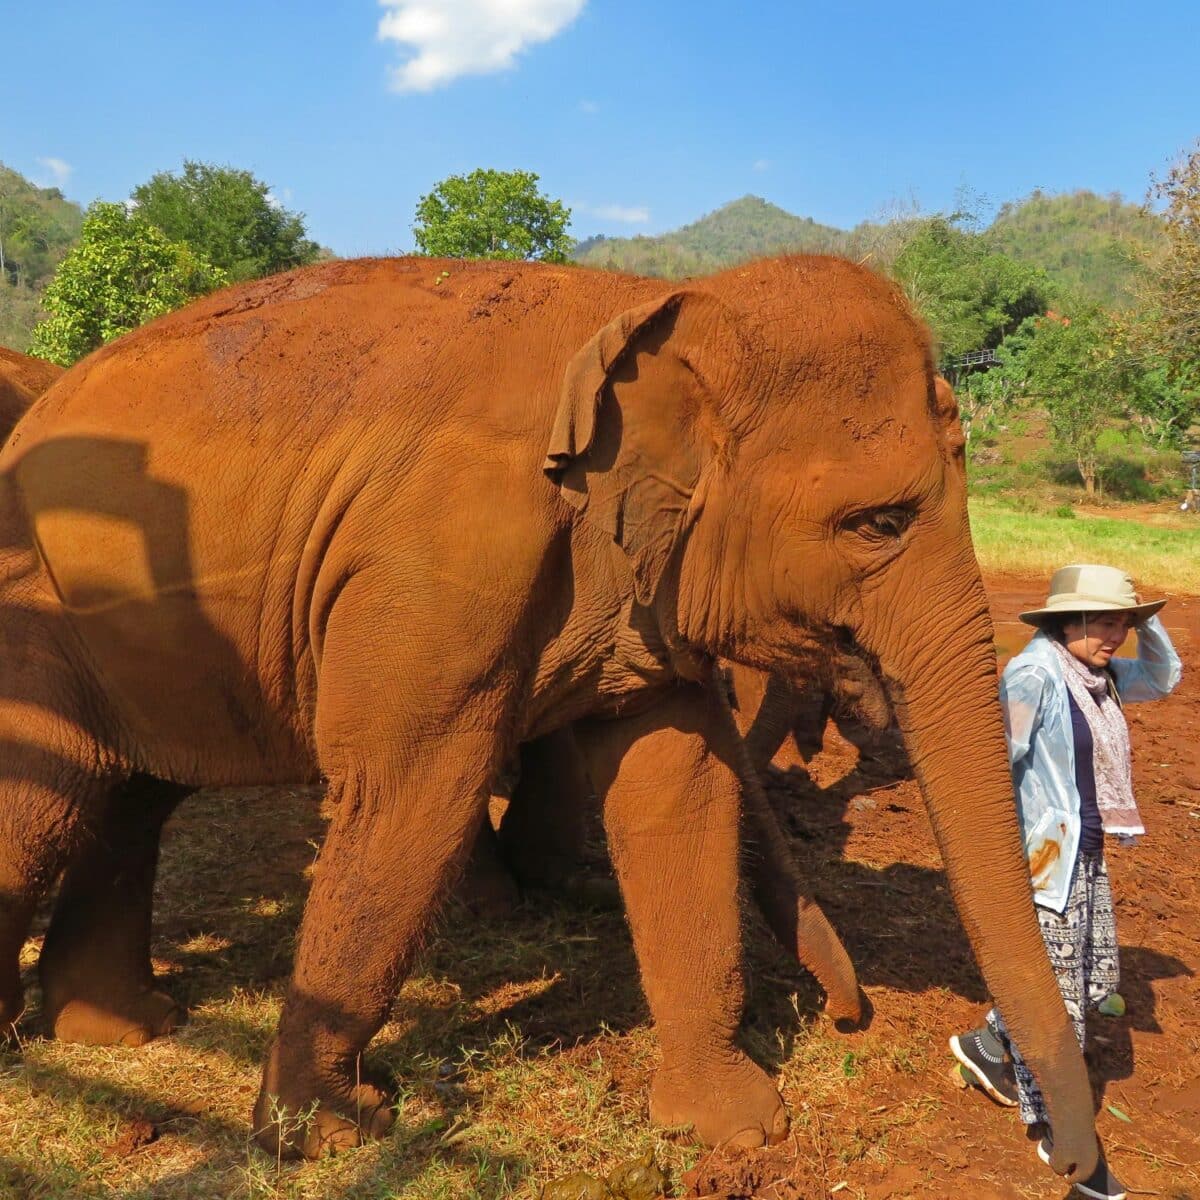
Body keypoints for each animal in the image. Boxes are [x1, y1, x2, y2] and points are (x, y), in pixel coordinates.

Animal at [0, 255, 1099, 1180]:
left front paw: (735, 1129)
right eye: (879, 524)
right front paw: (332, 1133)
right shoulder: (442, 558)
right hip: (34, 609)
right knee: (51, 800)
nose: (850, 1010)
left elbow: (675, 790)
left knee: (131, 795)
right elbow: (410, 800)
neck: (657, 303)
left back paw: (123, 1028)